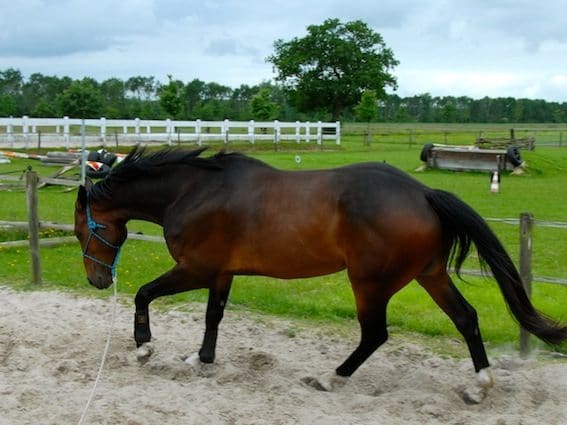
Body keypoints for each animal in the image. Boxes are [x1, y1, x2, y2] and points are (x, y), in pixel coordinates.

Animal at [75, 146, 567, 400]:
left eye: (82, 229)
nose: (98, 281)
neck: (195, 191)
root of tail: (424, 193)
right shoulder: (221, 272)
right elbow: (214, 316)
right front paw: (201, 359)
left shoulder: (195, 268)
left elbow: (143, 294)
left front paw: (144, 349)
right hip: (429, 275)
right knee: (466, 319)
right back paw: (479, 386)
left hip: (369, 283)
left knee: (375, 334)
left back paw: (331, 378)